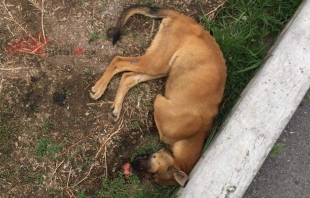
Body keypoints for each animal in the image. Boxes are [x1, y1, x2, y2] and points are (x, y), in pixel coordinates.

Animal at [91, 5, 226, 187]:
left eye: (153, 176)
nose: (133, 165)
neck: (191, 136)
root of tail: (183, 17)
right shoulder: (159, 101)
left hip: (162, 67)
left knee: (127, 77)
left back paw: (116, 109)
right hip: (158, 62)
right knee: (119, 61)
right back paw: (99, 88)